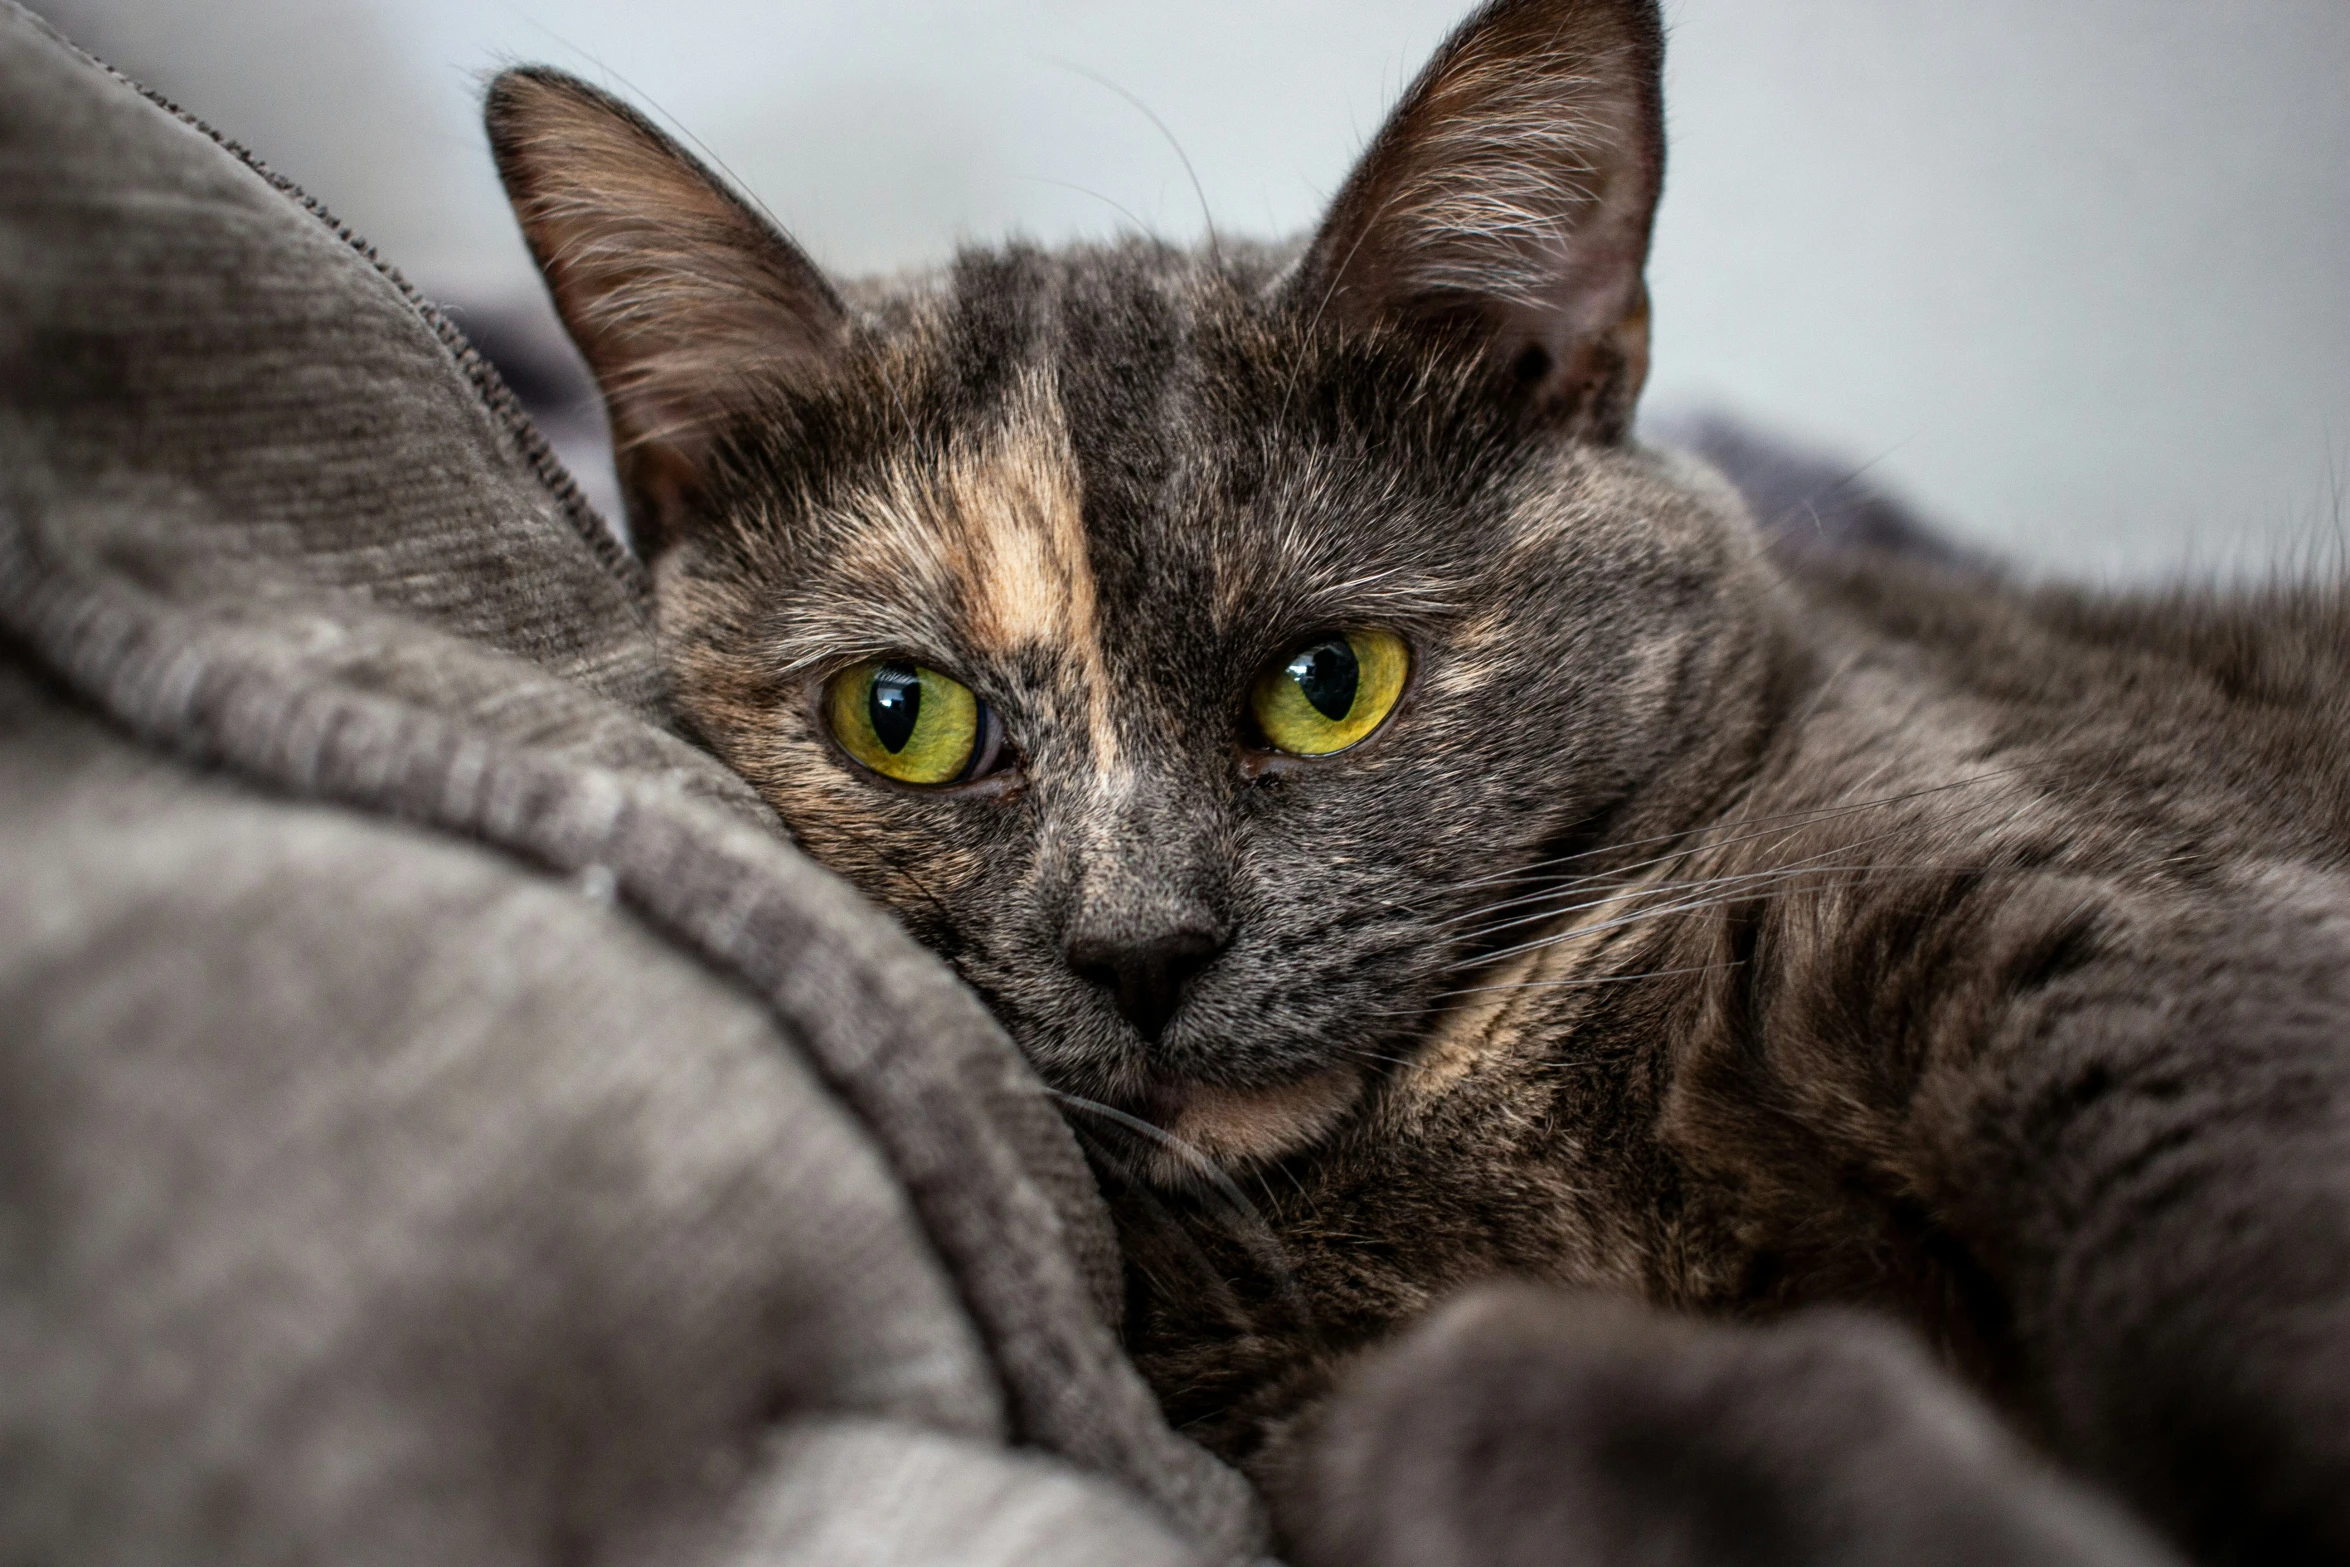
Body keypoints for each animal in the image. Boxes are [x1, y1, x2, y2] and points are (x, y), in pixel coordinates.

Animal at [481, 6, 2350, 1559]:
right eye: (902, 715)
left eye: (1331, 684)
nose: (1140, 943)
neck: (1478, 1124)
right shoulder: (1261, 1385)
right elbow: (1479, 1390)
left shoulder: (2080, 937)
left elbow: (2233, 1206)